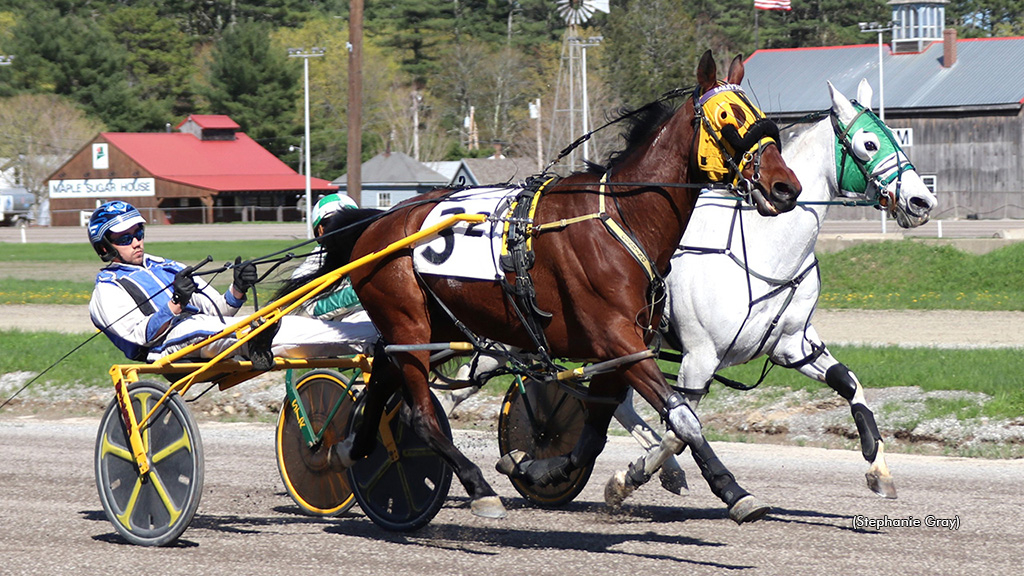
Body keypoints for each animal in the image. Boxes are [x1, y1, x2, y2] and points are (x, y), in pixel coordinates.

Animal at [303, 51, 798, 522]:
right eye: (727, 117)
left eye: (759, 112)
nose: (785, 187)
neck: (620, 218)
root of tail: (375, 223)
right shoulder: (616, 338)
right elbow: (683, 417)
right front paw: (733, 489)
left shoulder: (621, 351)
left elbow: (593, 437)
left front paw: (541, 469)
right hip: (409, 323)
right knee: (419, 413)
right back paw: (477, 487)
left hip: (433, 325)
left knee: (383, 371)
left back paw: (348, 448)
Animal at [602, 78, 937, 504]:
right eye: (869, 143)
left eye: (895, 134)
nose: (922, 201)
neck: (765, 248)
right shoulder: (699, 358)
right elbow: (681, 427)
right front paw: (631, 477)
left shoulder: (792, 343)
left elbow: (849, 383)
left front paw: (879, 469)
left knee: (620, 402)